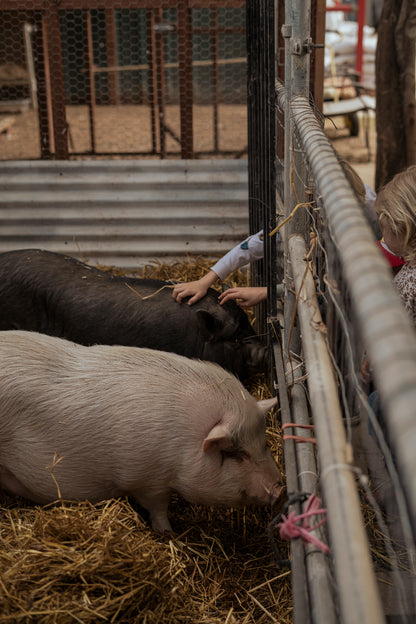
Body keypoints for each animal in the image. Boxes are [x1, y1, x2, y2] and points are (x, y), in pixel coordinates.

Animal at [0, 332, 282, 532]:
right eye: (238, 454)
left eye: (265, 443)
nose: (280, 489)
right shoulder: (146, 480)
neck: (184, 439)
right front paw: (168, 533)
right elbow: (158, 508)